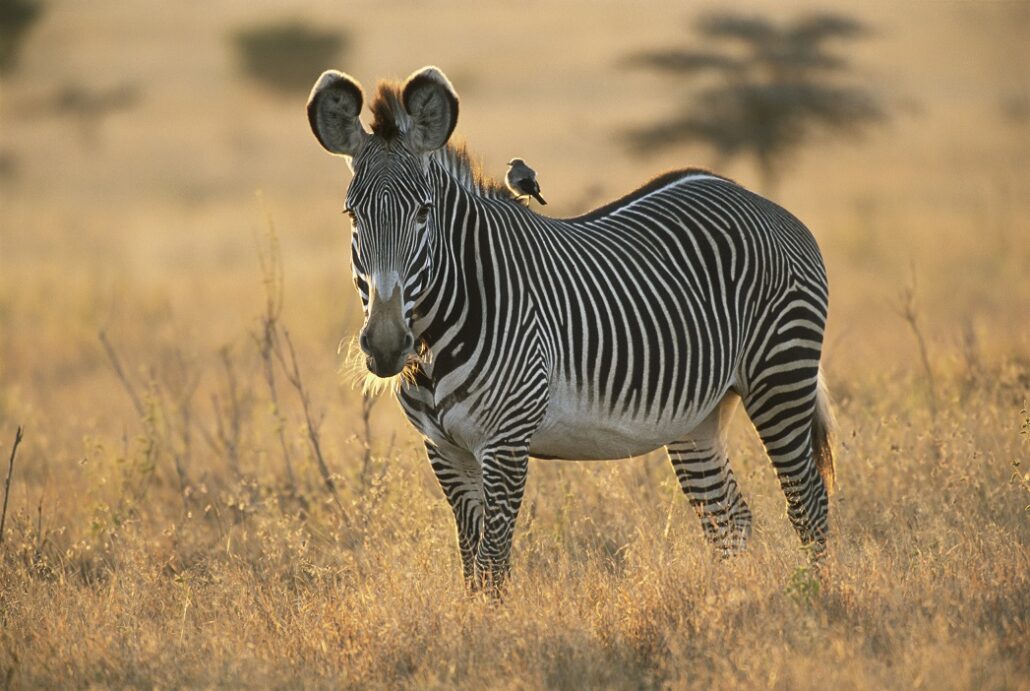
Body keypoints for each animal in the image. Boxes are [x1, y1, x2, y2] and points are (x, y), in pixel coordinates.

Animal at [307, 66, 835, 591]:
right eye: (352, 215)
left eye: (423, 212)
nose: (386, 345)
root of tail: (758, 201)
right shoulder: (443, 449)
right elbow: (471, 567)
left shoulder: (505, 442)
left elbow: (493, 565)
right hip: (699, 415)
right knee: (729, 518)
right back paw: (731, 598)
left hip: (780, 375)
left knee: (808, 504)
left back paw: (817, 596)